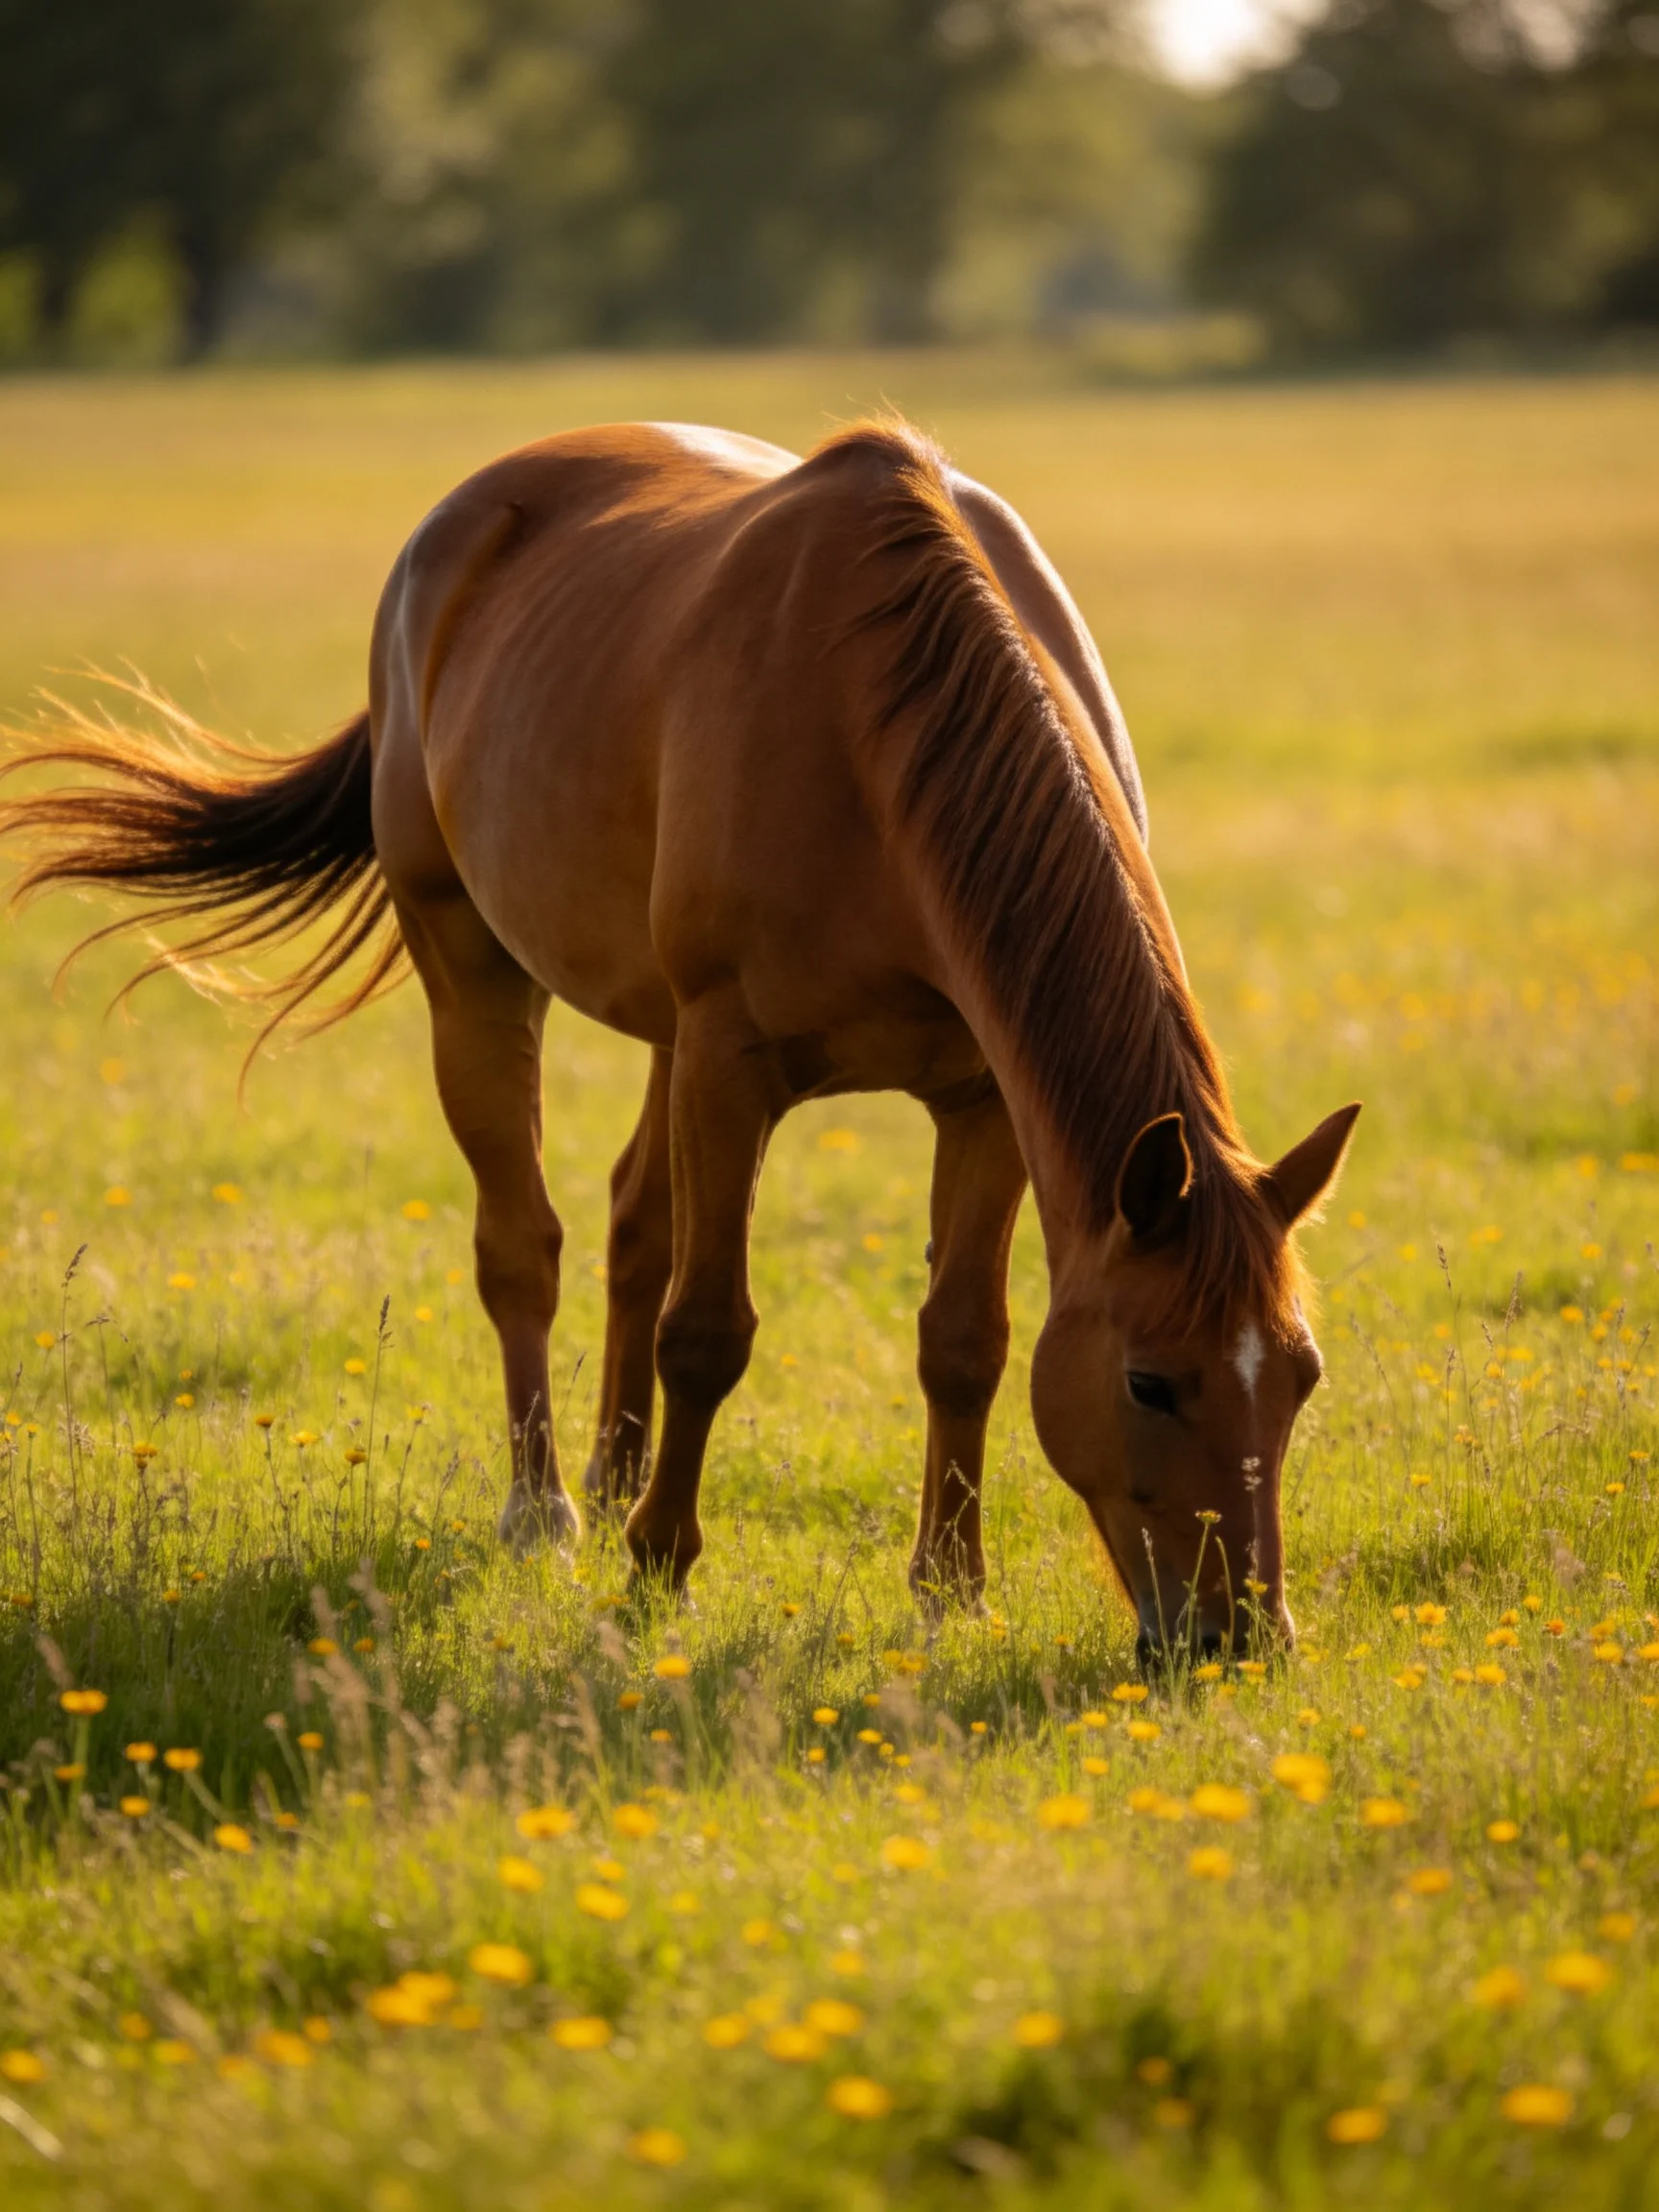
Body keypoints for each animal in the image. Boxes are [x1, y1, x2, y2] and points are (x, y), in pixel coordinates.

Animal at [0, 417, 1357, 1659]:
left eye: (1301, 1375)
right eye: (1149, 1381)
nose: (1243, 1636)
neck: (871, 734)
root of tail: (459, 521)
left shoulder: (983, 1095)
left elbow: (964, 1341)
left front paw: (950, 1593)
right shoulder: (730, 1058)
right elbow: (706, 1331)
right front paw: (660, 1569)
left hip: (659, 1030)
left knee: (631, 1220)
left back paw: (611, 1478)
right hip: (477, 968)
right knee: (523, 1246)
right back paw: (550, 1510)